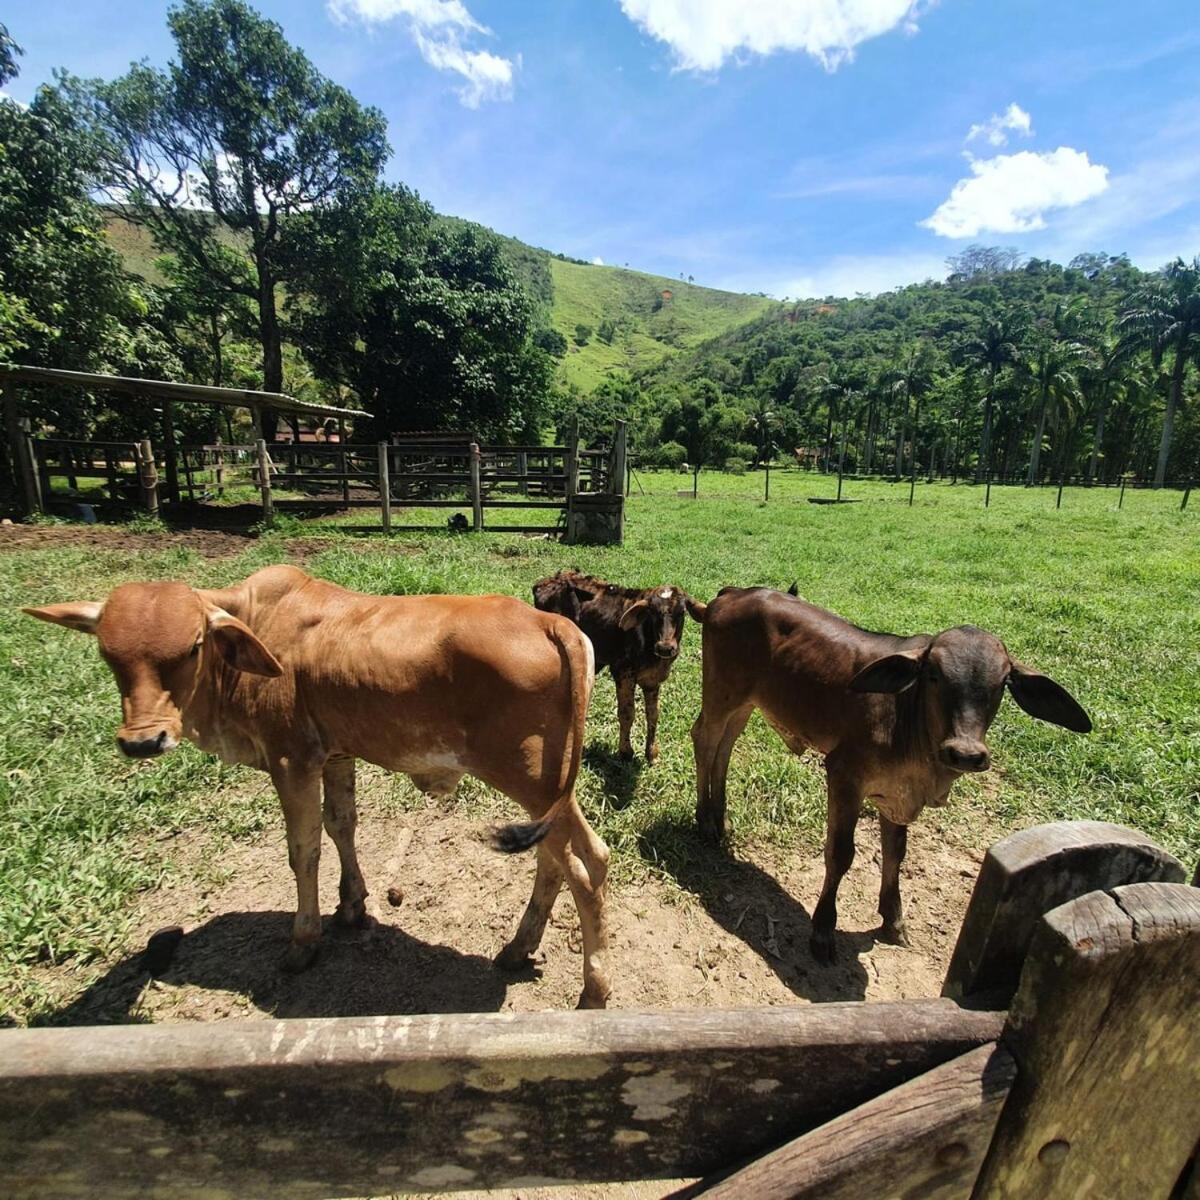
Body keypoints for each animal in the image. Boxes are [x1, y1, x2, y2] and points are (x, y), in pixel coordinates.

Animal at [21, 566, 609, 1008]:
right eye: (108, 655)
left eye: (191, 647)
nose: (143, 741)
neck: (251, 630)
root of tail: (553, 625)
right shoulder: (336, 754)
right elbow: (341, 825)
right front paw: (351, 906)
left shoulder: (292, 760)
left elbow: (303, 850)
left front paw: (304, 941)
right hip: (548, 792)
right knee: (570, 859)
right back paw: (518, 948)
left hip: (526, 778)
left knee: (584, 869)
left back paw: (594, 990)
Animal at [535, 568, 700, 758]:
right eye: (652, 613)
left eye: (682, 612)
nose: (665, 648)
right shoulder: (622, 672)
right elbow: (627, 713)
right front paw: (626, 751)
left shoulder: (652, 680)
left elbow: (653, 714)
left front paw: (651, 752)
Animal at [691, 588, 1094, 964]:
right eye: (933, 675)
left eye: (1002, 684)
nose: (965, 753)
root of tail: (729, 595)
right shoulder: (844, 777)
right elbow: (841, 854)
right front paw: (822, 931)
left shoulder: (898, 795)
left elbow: (895, 852)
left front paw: (893, 919)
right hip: (721, 695)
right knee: (705, 738)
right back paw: (705, 821)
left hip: (746, 703)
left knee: (725, 747)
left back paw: (720, 817)